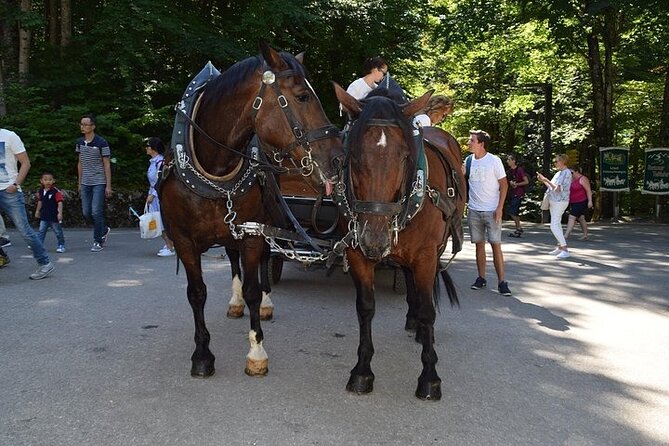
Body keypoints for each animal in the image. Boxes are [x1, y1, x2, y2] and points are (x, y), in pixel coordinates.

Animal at [159, 42, 342, 376]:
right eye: (302, 96)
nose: (338, 158)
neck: (215, 169)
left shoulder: (253, 232)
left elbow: (254, 289)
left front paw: (257, 351)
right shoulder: (184, 241)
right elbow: (197, 292)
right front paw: (202, 354)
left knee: (266, 259)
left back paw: (266, 304)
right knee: (233, 259)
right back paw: (234, 303)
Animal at [334, 84, 464, 400]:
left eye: (405, 156)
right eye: (353, 154)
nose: (375, 238)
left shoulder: (426, 256)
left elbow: (429, 311)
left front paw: (429, 377)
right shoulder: (357, 252)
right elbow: (366, 307)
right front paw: (362, 370)